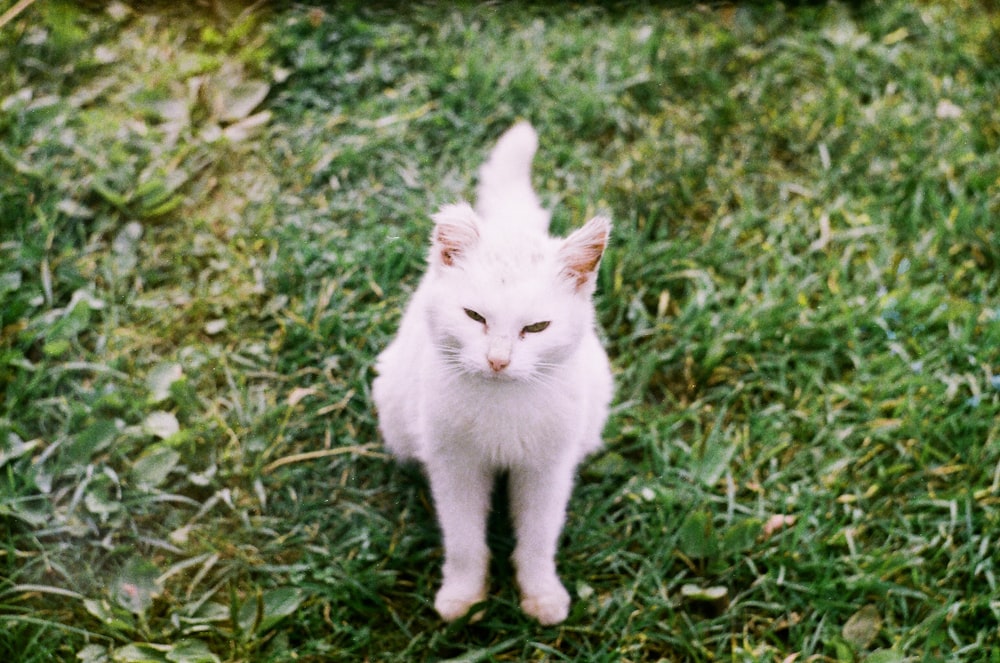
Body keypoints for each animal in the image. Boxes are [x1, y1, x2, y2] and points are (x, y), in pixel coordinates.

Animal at [374, 122, 612, 624]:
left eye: (537, 327)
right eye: (474, 316)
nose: (498, 360)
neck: (503, 404)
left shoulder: (546, 470)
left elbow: (539, 539)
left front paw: (541, 593)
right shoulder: (455, 467)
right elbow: (464, 540)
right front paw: (463, 594)